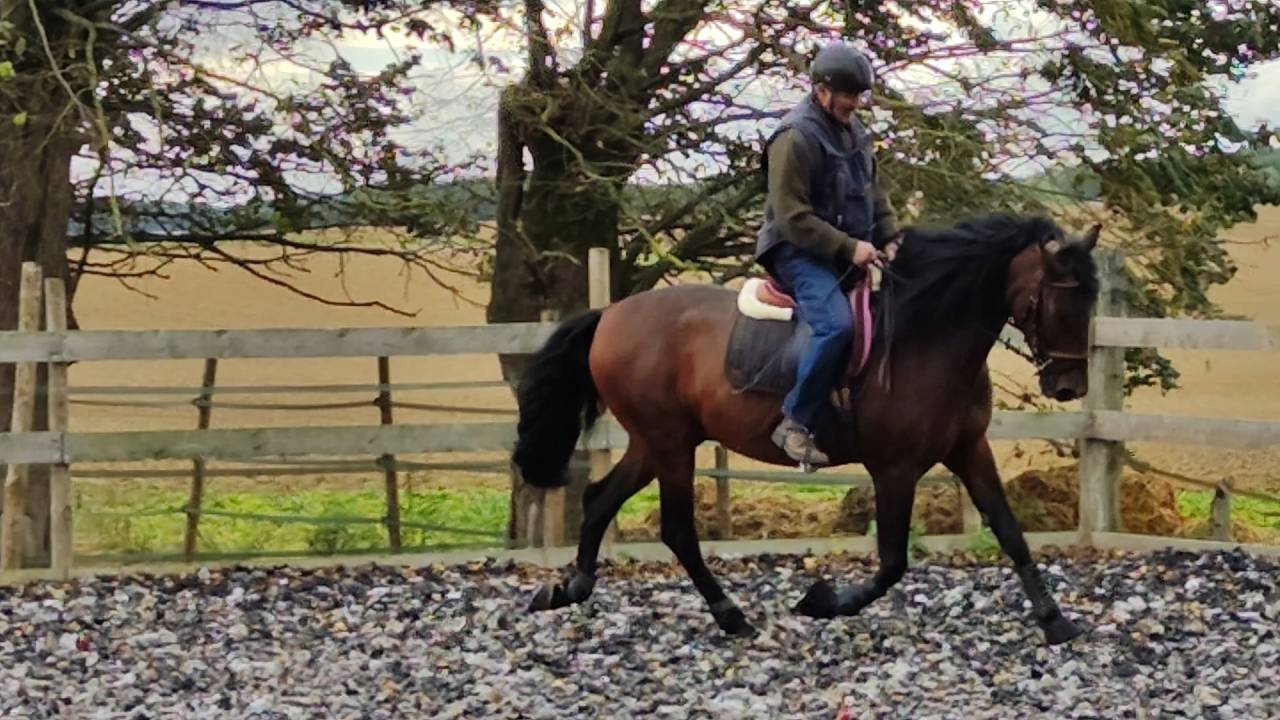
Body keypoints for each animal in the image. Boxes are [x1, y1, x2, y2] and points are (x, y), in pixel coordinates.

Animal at [512, 213, 1101, 644]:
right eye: (1060, 300)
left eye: (1091, 300)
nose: (1069, 386)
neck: (925, 335)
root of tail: (610, 316)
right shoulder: (895, 468)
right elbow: (892, 562)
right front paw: (822, 601)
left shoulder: (969, 449)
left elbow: (1010, 532)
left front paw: (1055, 621)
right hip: (670, 444)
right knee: (677, 529)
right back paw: (730, 615)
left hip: (654, 442)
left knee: (598, 498)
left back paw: (570, 587)